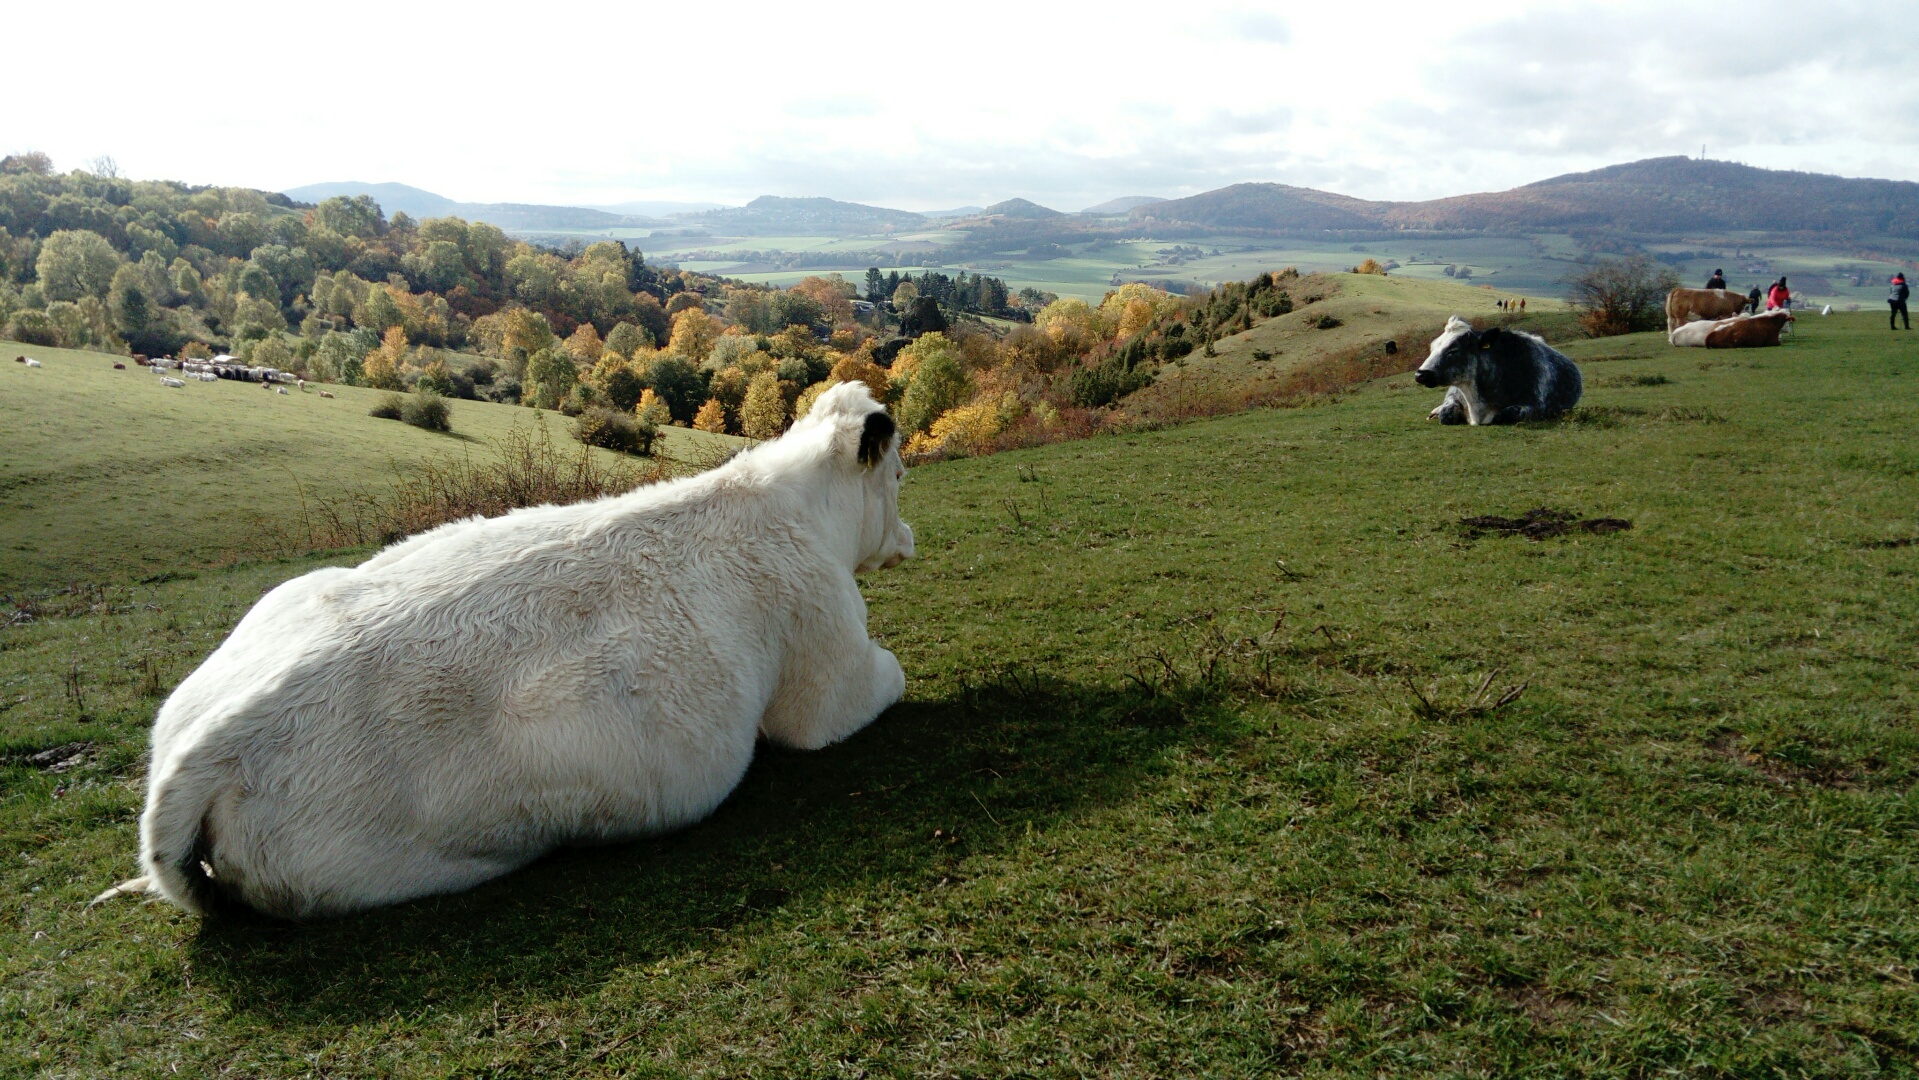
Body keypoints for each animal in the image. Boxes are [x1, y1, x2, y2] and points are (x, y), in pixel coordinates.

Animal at [103, 383, 913, 916]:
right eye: (901, 474)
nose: (907, 537)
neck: (796, 506)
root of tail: (214, 740)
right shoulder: (828, 675)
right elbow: (887, 678)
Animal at [1420, 314, 1581, 423]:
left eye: (1453, 350)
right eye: (1432, 347)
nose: (1420, 374)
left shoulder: (1535, 407)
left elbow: (1503, 415)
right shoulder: (1455, 394)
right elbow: (1446, 413)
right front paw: (1439, 412)